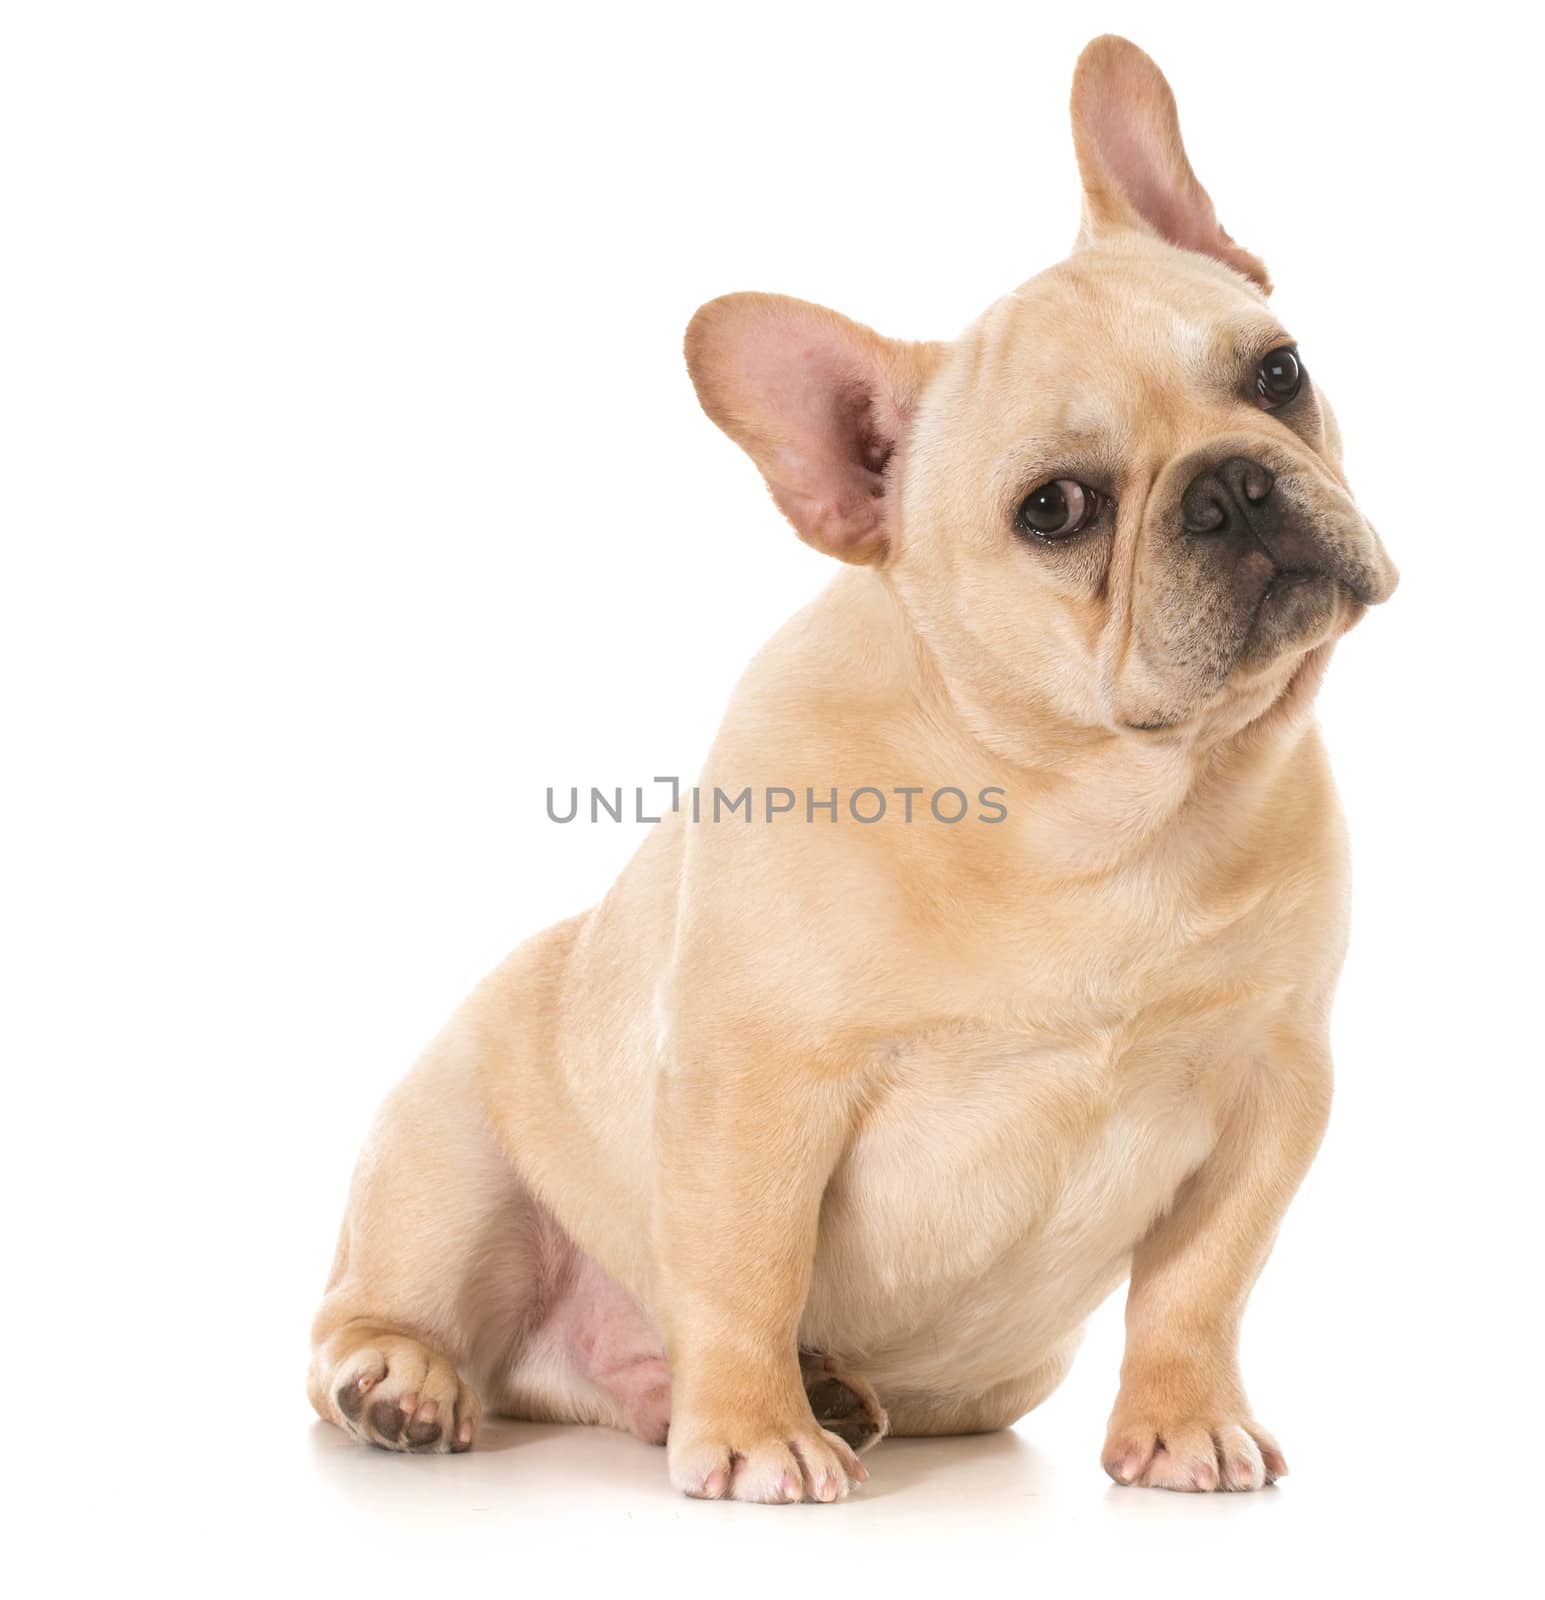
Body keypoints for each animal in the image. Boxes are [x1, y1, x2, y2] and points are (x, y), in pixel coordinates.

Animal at [308, 40, 1394, 1510]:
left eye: (1278, 373)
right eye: (1056, 508)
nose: (1232, 486)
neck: (1094, 808)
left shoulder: (1272, 1088)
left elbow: (1203, 1284)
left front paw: (1183, 1420)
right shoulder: (756, 1084)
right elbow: (745, 1268)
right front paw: (758, 1431)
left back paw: (803, 1389)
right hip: (447, 1160)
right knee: (375, 1307)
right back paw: (411, 1379)